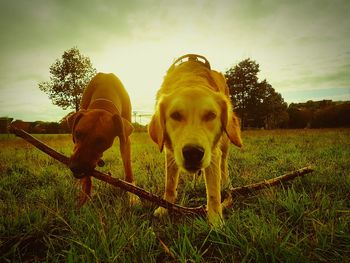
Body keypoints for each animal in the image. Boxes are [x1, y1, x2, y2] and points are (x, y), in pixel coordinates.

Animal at [67, 73, 134, 205]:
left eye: (101, 141)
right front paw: (84, 200)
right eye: (77, 134)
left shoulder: (125, 137)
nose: (75, 167)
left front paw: (132, 198)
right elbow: (87, 179)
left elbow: (128, 167)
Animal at [149, 54, 242, 227]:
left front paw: (216, 222)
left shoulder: (213, 154)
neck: (191, 79)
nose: (193, 153)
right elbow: (169, 185)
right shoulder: (170, 152)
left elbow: (213, 193)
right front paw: (165, 208)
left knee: (224, 165)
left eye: (211, 115)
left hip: (226, 142)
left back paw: (226, 184)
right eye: (176, 115)